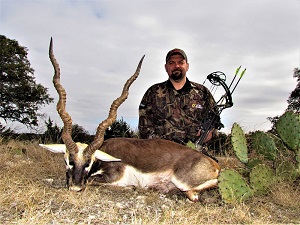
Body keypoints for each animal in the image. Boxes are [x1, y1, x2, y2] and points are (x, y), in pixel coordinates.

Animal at [39, 37, 220, 201]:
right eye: (68, 160)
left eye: (88, 163)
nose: (76, 187)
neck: (103, 158)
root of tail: (214, 165)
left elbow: (91, 181)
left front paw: (130, 187)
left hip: (183, 183)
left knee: (194, 193)